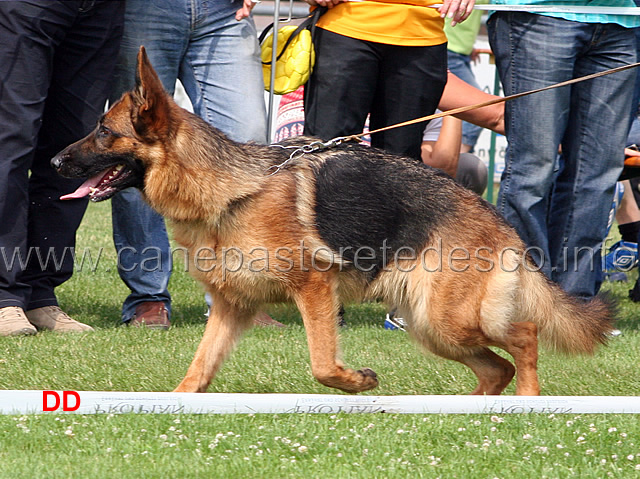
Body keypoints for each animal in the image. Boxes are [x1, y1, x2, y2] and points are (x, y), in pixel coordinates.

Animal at [52, 46, 612, 398]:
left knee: (524, 337)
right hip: (433, 327)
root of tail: (499, 221)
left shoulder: (314, 288)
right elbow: (198, 368)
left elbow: (323, 364)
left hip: (447, 318)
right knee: (497, 367)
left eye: (103, 132)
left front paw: (357, 381)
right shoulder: (231, 308)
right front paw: (178, 399)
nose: (54, 161)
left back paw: (528, 399)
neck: (227, 191)